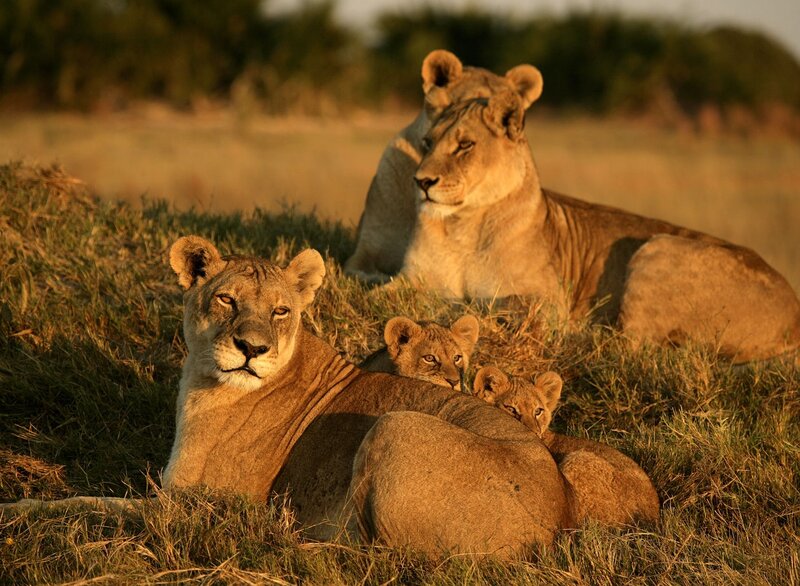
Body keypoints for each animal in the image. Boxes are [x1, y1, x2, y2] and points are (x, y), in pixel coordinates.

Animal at [162, 235, 573, 557]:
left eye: (280, 310)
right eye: (226, 299)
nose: (252, 348)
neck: (202, 382)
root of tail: (551, 529)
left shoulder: (200, 499)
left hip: (395, 425)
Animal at [401, 90, 800, 362]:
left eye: (465, 145)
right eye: (427, 142)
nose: (421, 181)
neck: (462, 226)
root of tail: (794, 308)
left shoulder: (550, 303)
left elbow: (500, 305)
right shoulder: (410, 278)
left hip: (659, 248)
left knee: (628, 349)